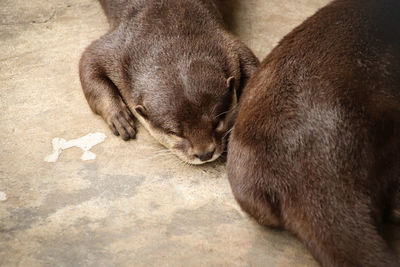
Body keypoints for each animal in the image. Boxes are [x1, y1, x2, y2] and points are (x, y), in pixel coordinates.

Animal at [78, 0, 260, 165]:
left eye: (218, 122)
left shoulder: (227, 43)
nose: (205, 154)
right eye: (175, 133)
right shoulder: (117, 49)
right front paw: (119, 117)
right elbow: (88, 59)